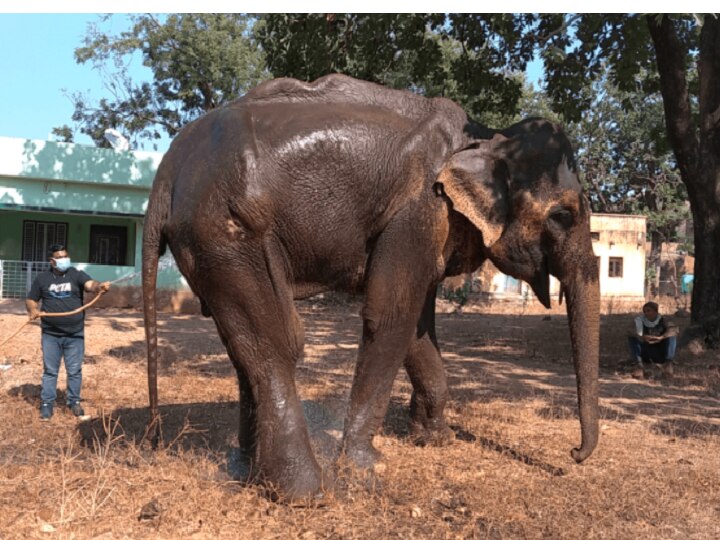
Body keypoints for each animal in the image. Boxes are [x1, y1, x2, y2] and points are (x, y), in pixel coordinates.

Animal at [143, 74, 600, 500]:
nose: (573, 455)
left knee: (243, 343)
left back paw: (244, 471)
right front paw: (364, 467)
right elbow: (390, 315)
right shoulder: (421, 208)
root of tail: (167, 170)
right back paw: (305, 493)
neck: (487, 137)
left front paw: (435, 439)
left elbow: (417, 325)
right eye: (563, 215)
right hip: (226, 231)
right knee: (279, 341)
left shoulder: (431, 223)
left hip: (207, 244)